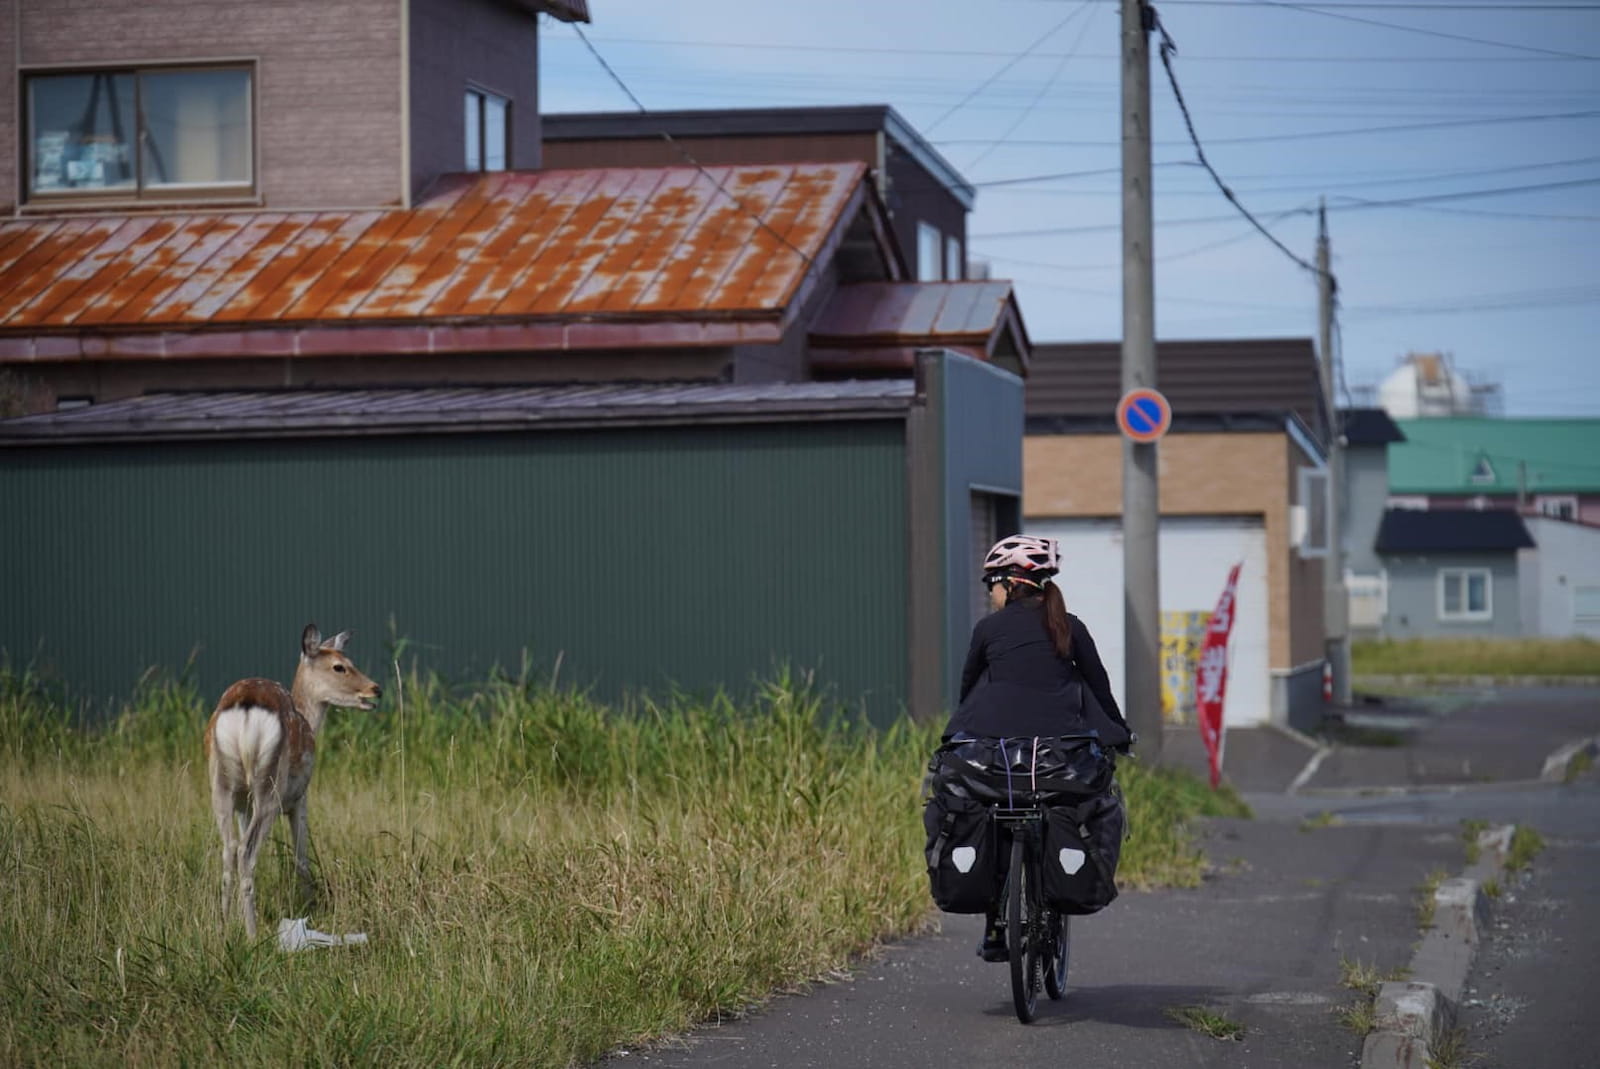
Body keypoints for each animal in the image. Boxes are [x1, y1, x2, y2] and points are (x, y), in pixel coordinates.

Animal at [203, 620, 380, 940]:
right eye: (340, 666)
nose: (376, 689)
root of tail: (243, 708)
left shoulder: (244, 805)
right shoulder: (301, 797)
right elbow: (301, 859)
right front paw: (310, 906)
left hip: (222, 785)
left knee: (229, 849)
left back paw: (223, 928)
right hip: (270, 787)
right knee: (246, 852)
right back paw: (253, 935)